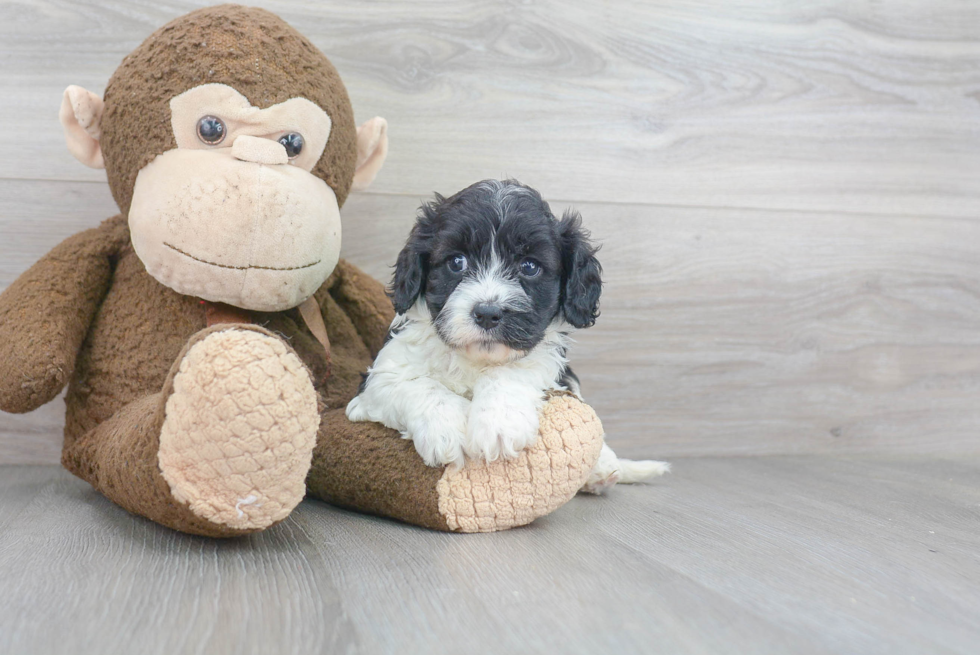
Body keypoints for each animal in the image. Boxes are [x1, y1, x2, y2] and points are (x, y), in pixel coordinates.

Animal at [342, 179, 668, 492]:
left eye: (529, 266)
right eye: (457, 262)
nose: (487, 313)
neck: (475, 360)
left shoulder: (548, 361)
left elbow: (512, 370)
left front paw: (498, 425)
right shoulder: (374, 383)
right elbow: (418, 385)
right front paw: (447, 430)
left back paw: (603, 467)